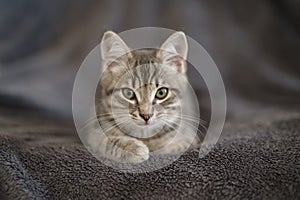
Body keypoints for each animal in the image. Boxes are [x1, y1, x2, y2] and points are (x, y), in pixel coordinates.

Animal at [86, 30, 199, 162]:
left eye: (161, 92)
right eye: (128, 93)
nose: (146, 115)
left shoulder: (189, 136)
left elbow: (175, 146)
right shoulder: (94, 131)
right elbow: (104, 141)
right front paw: (131, 148)